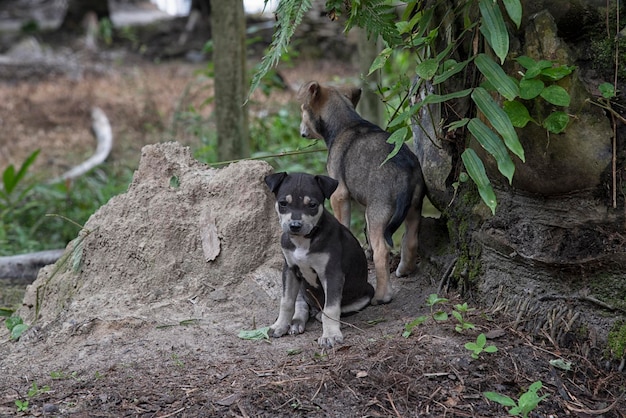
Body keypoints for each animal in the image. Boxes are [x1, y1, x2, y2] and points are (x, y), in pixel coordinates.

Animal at [262, 171, 370, 348]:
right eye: (283, 203)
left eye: (312, 205)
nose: (295, 225)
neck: (303, 241)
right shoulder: (289, 270)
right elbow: (286, 301)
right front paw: (279, 326)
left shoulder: (332, 274)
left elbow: (332, 307)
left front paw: (331, 335)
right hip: (300, 288)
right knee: (301, 305)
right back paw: (295, 322)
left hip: (366, 293)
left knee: (332, 309)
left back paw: (318, 316)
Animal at [296, 81, 424, 304]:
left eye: (303, 108)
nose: (300, 130)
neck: (345, 122)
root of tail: (406, 170)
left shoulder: (339, 195)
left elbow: (343, 223)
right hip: (413, 208)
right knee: (410, 240)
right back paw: (405, 269)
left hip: (377, 213)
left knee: (382, 251)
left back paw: (382, 296)